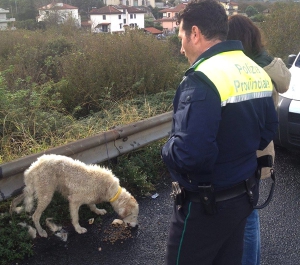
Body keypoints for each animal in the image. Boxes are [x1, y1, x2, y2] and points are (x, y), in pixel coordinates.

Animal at [10, 153, 139, 237]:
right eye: (134, 216)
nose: (137, 226)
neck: (109, 188)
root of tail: (33, 166)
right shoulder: (74, 200)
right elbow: (75, 218)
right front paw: (78, 229)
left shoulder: (90, 197)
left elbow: (92, 205)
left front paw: (98, 211)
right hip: (46, 195)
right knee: (35, 216)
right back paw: (41, 231)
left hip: (34, 190)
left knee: (19, 198)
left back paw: (12, 209)